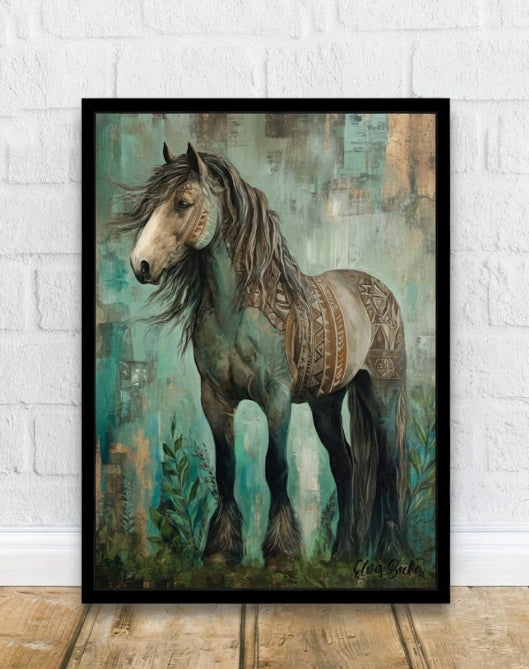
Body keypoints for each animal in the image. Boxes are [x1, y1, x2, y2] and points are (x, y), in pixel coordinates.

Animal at [121, 142, 409, 567]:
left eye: (183, 202)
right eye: (151, 204)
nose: (140, 264)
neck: (238, 312)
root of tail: (377, 289)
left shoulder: (276, 399)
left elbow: (276, 468)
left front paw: (281, 552)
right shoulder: (215, 399)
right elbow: (226, 470)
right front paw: (221, 550)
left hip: (382, 396)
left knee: (388, 468)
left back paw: (390, 551)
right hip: (326, 404)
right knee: (346, 466)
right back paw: (342, 552)